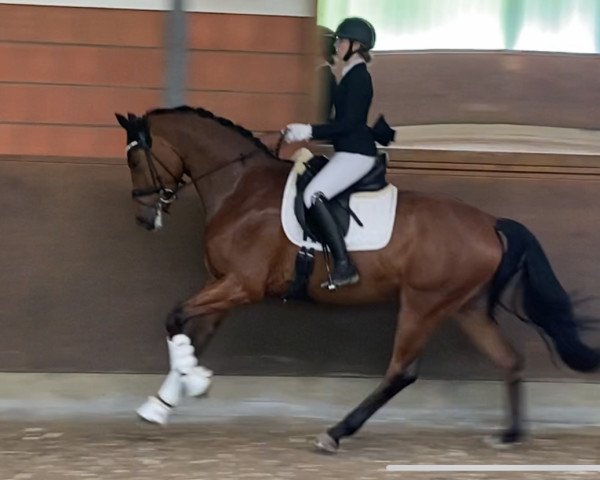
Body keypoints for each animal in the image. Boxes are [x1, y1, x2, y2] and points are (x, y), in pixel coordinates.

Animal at [115, 106, 596, 454]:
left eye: (135, 158)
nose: (142, 218)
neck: (239, 187)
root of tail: (491, 223)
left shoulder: (241, 285)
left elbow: (174, 318)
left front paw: (193, 383)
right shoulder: (224, 284)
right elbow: (191, 335)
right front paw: (163, 402)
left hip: (424, 304)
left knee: (401, 371)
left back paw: (335, 433)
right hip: (467, 308)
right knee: (509, 360)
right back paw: (509, 435)